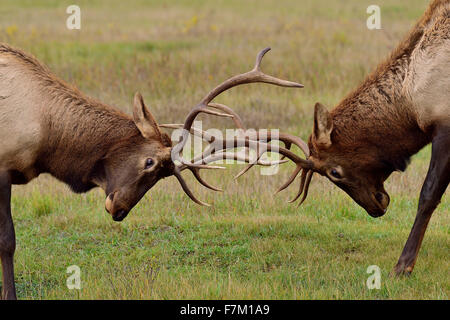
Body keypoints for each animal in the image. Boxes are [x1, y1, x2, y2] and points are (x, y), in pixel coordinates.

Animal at [0, 43, 306, 300]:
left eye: (162, 175)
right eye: (150, 162)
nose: (119, 209)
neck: (46, 135)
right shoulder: (3, 169)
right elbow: (8, 240)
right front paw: (9, 295)